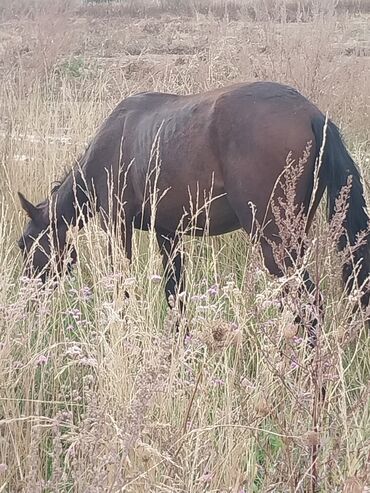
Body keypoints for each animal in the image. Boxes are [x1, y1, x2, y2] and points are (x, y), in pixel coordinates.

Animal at [17, 81, 370, 330]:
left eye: (24, 244)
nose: (28, 302)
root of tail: (312, 114)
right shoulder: (168, 234)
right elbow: (175, 295)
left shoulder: (117, 226)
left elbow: (123, 287)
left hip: (276, 244)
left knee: (309, 306)